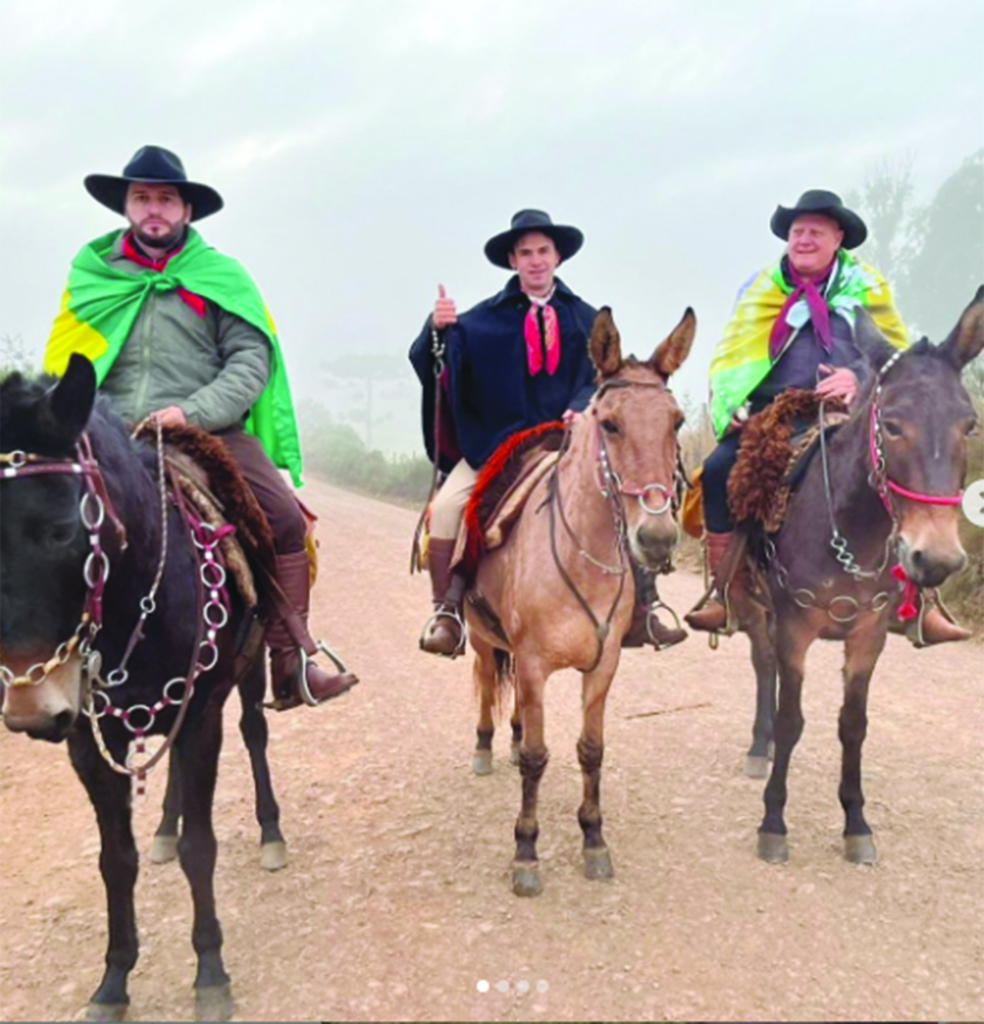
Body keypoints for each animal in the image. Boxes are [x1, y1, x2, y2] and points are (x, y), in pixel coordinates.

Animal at [464, 305, 696, 897]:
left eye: (676, 422)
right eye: (610, 424)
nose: (656, 539)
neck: (579, 557)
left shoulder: (602, 664)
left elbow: (590, 750)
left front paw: (594, 839)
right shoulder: (533, 664)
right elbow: (536, 758)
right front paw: (526, 851)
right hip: (480, 637)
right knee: (486, 683)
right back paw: (485, 746)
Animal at [724, 288, 978, 864]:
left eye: (969, 424)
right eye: (892, 424)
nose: (936, 558)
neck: (848, 532)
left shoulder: (868, 634)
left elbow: (853, 725)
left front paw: (856, 823)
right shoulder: (794, 626)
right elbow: (792, 720)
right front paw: (774, 821)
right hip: (752, 605)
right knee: (762, 667)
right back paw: (758, 745)